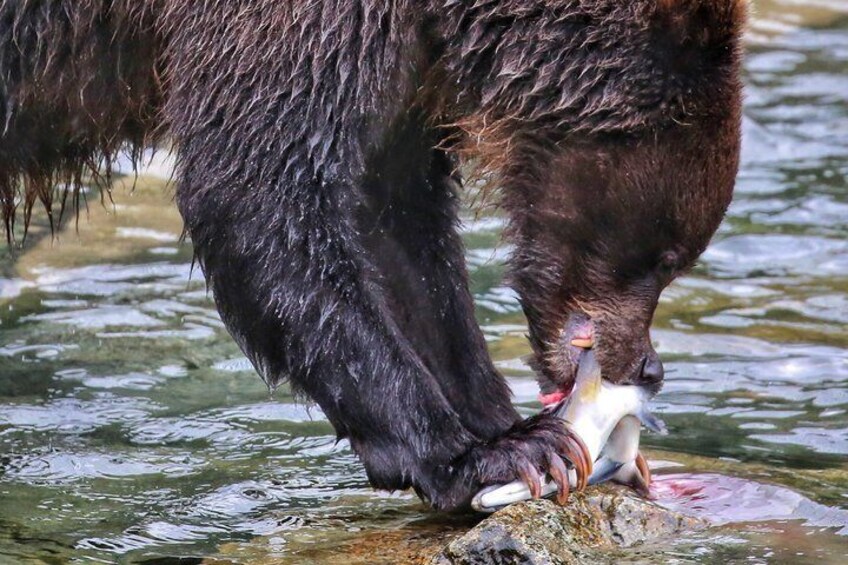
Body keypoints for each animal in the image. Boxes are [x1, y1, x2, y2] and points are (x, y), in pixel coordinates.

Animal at [0, 0, 745, 511]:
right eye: (668, 255)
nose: (647, 365)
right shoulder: (293, 24)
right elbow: (259, 189)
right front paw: (497, 455)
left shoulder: (405, 57)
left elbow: (397, 227)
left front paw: (504, 423)